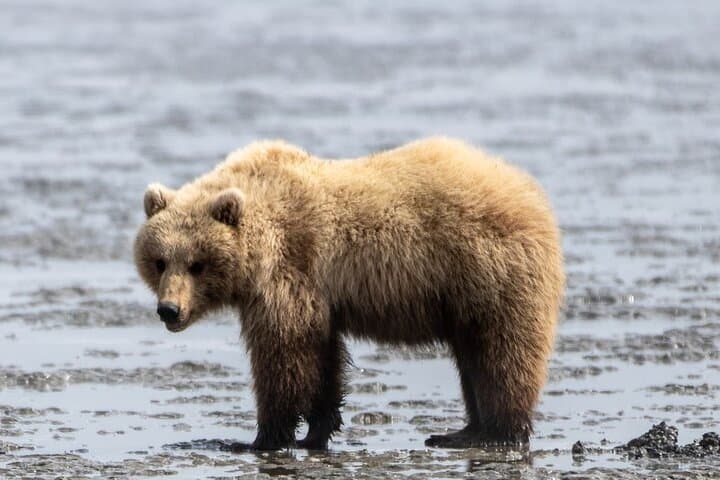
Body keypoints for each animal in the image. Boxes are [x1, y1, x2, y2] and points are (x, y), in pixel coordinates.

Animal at [133, 137, 564, 451]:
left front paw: (258, 439)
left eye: (197, 263)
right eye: (159, 261)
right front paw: (316, 431)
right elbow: (323, 358)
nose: (169, 309)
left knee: (501, 354)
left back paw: (493, 433)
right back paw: (463, 430)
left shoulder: (289, 272)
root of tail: (530, 192)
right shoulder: (319, 296)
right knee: (473, 357)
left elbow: (283, 356)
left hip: (488, 272)